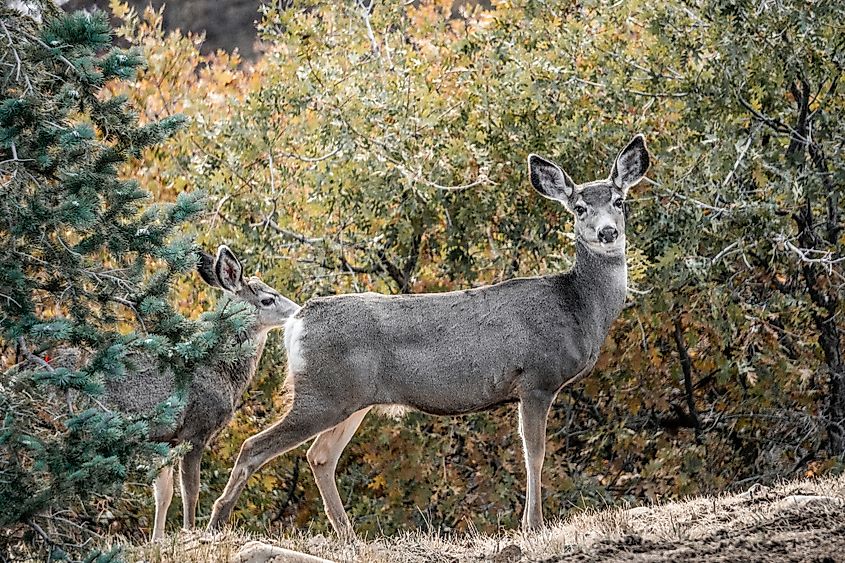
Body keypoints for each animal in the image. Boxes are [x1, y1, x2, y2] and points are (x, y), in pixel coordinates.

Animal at [104, 246, 298, 540]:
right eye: (267, 299)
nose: (298, 310)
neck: (218, 367)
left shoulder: (163, 438)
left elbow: (164, 494)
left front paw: (158, 539)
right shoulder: (196, 430)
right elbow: (190, 491)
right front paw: (189, 531)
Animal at [206, 134, 652, 540]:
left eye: (619, 201)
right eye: (579, 208)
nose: (607, 233)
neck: (576, 307)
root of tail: (297, 321)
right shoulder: (536, 379)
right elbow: (535, 454)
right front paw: (533, 526)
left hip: (350, 400)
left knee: (320, 456)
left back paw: (348, 536)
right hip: (321, 393)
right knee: (254, 446)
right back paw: (216, 523)